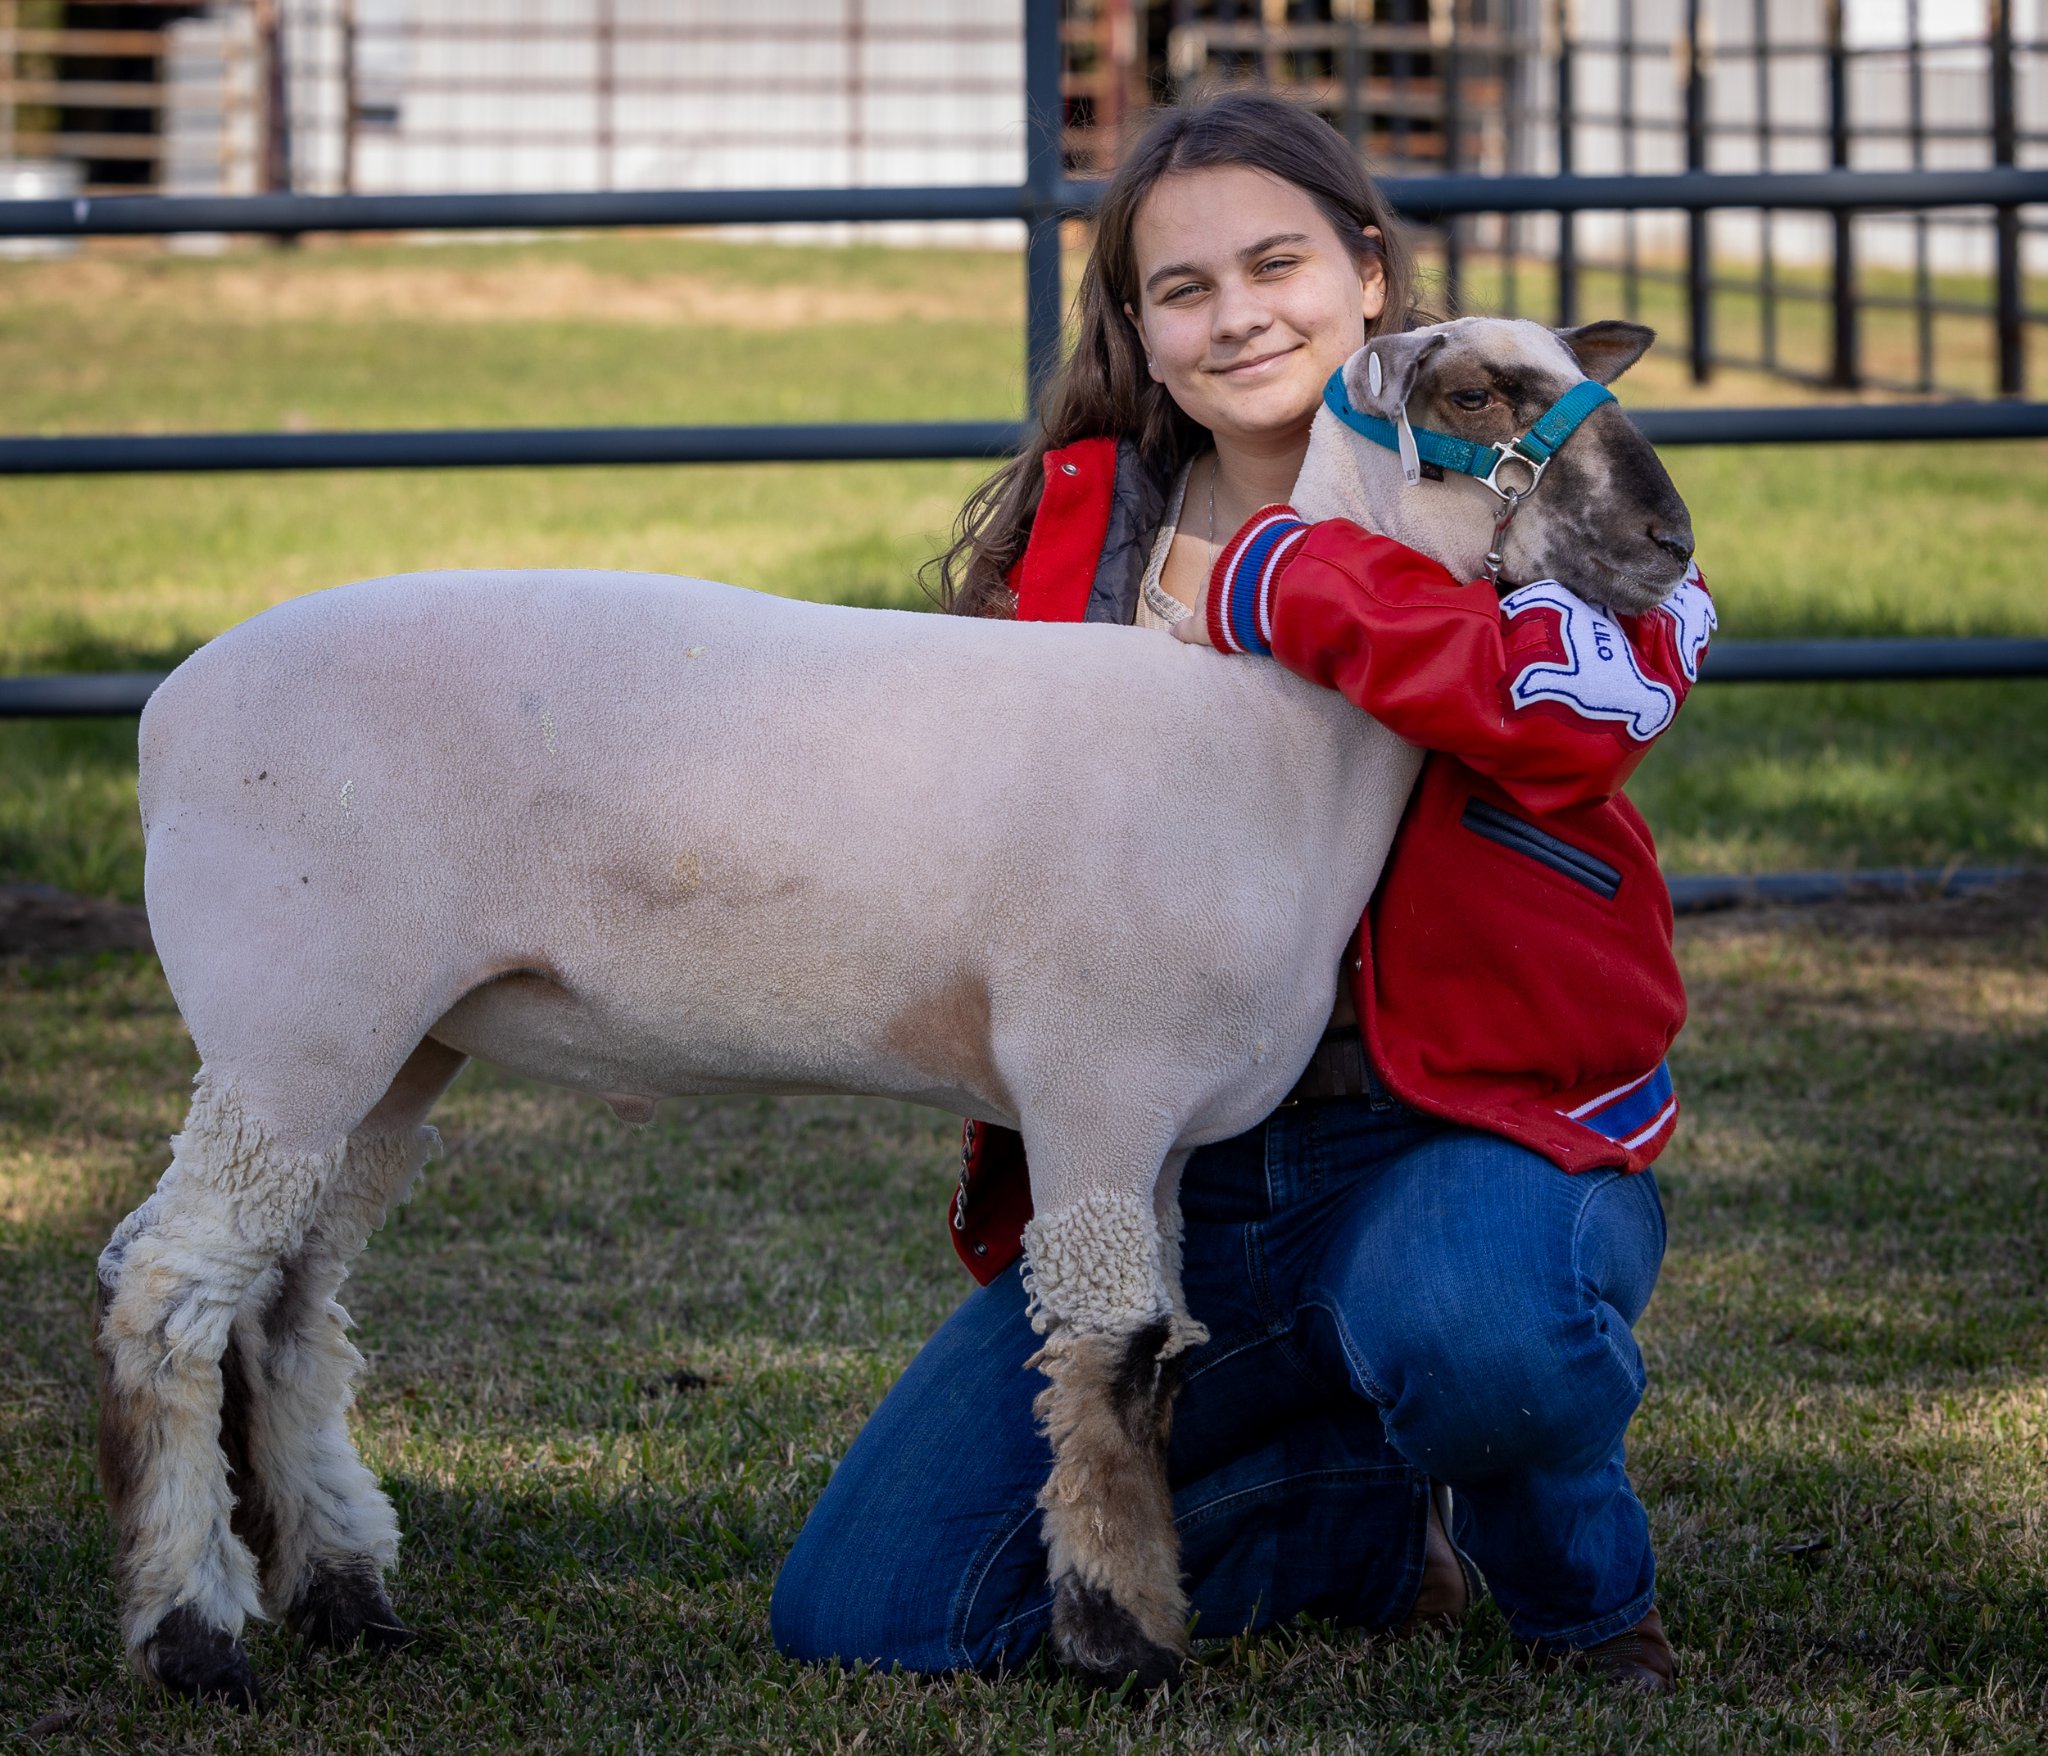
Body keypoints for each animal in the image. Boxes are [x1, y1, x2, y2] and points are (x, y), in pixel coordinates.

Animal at [92, 315, 1695, 1696]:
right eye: (1472, 392)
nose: (1671, 546)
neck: (1271, 742)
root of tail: (167, 714)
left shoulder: (1168, 1122)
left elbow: (1166, 1359)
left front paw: (1142, 1611)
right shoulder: (1096, 1076)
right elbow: (1108, 1355)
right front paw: (1122, 1644)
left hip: (391, 1043)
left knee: (286, 1301)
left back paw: (343, 1598)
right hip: (295, 1008)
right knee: (170, 1291)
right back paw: (194, 1635)